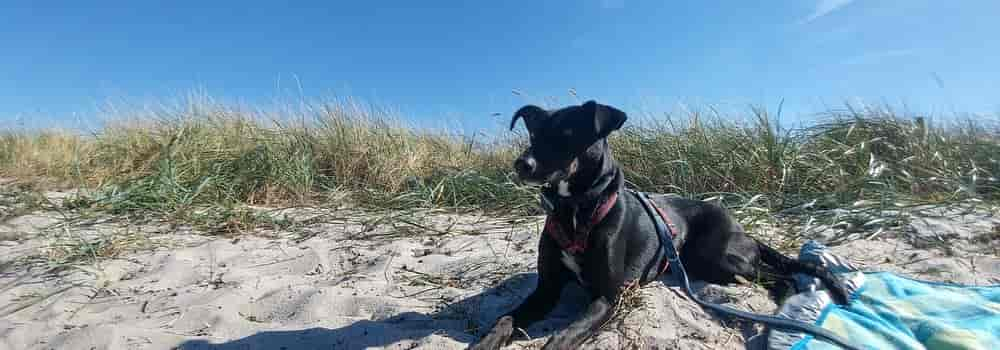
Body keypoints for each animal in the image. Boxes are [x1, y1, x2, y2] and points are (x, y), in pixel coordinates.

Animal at [470, 101, 852, 350]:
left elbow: (561, 337)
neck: (575, 210)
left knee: (780, 276)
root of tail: (741, 227)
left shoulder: (608, 297)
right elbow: (505, 319)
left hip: (718, 259)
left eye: (567, 133)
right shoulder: (546, 289)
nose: (522, 164)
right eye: (534, 134)